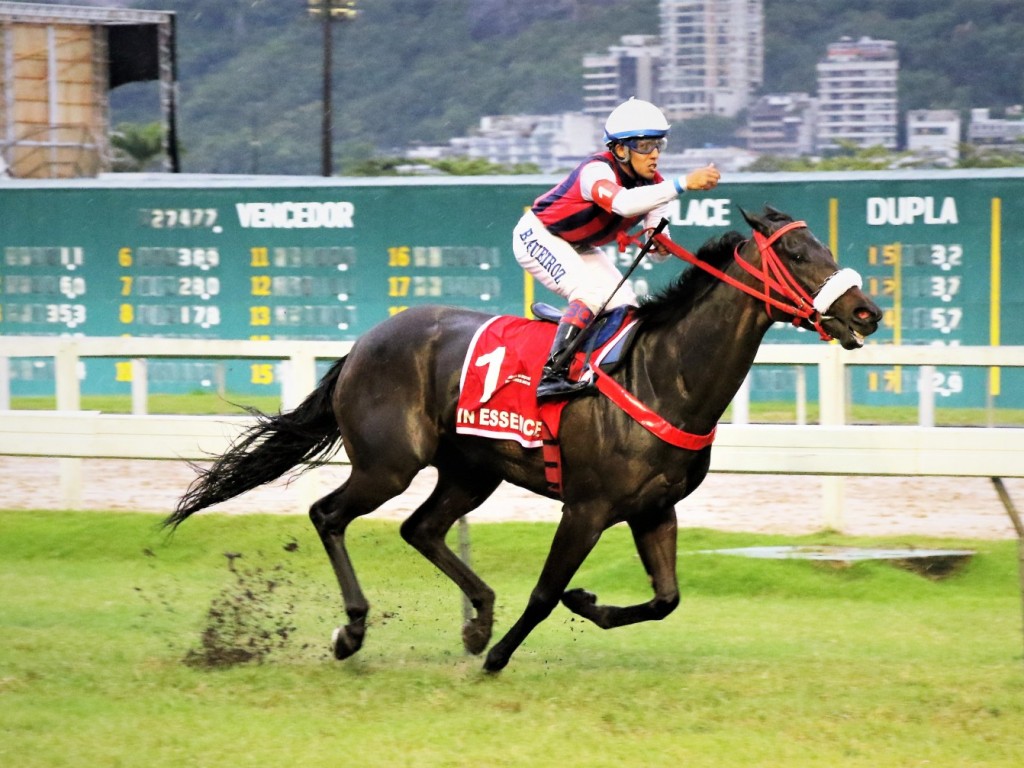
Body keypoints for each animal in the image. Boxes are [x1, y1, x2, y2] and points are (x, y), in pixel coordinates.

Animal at [167, 207, 880, 671]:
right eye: (797, 254)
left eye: (820, 243)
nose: (867, 311)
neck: (662, 373)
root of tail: (365, 342)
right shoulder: (587, 508)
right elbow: (542, 594)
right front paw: (505, 654)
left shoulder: (654, 508)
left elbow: (666, 599)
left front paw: (585, 601)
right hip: (388, 464)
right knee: (328, 514)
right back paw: (357, 629)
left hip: (470, 471)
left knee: (421, 528)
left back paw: (478, 617)